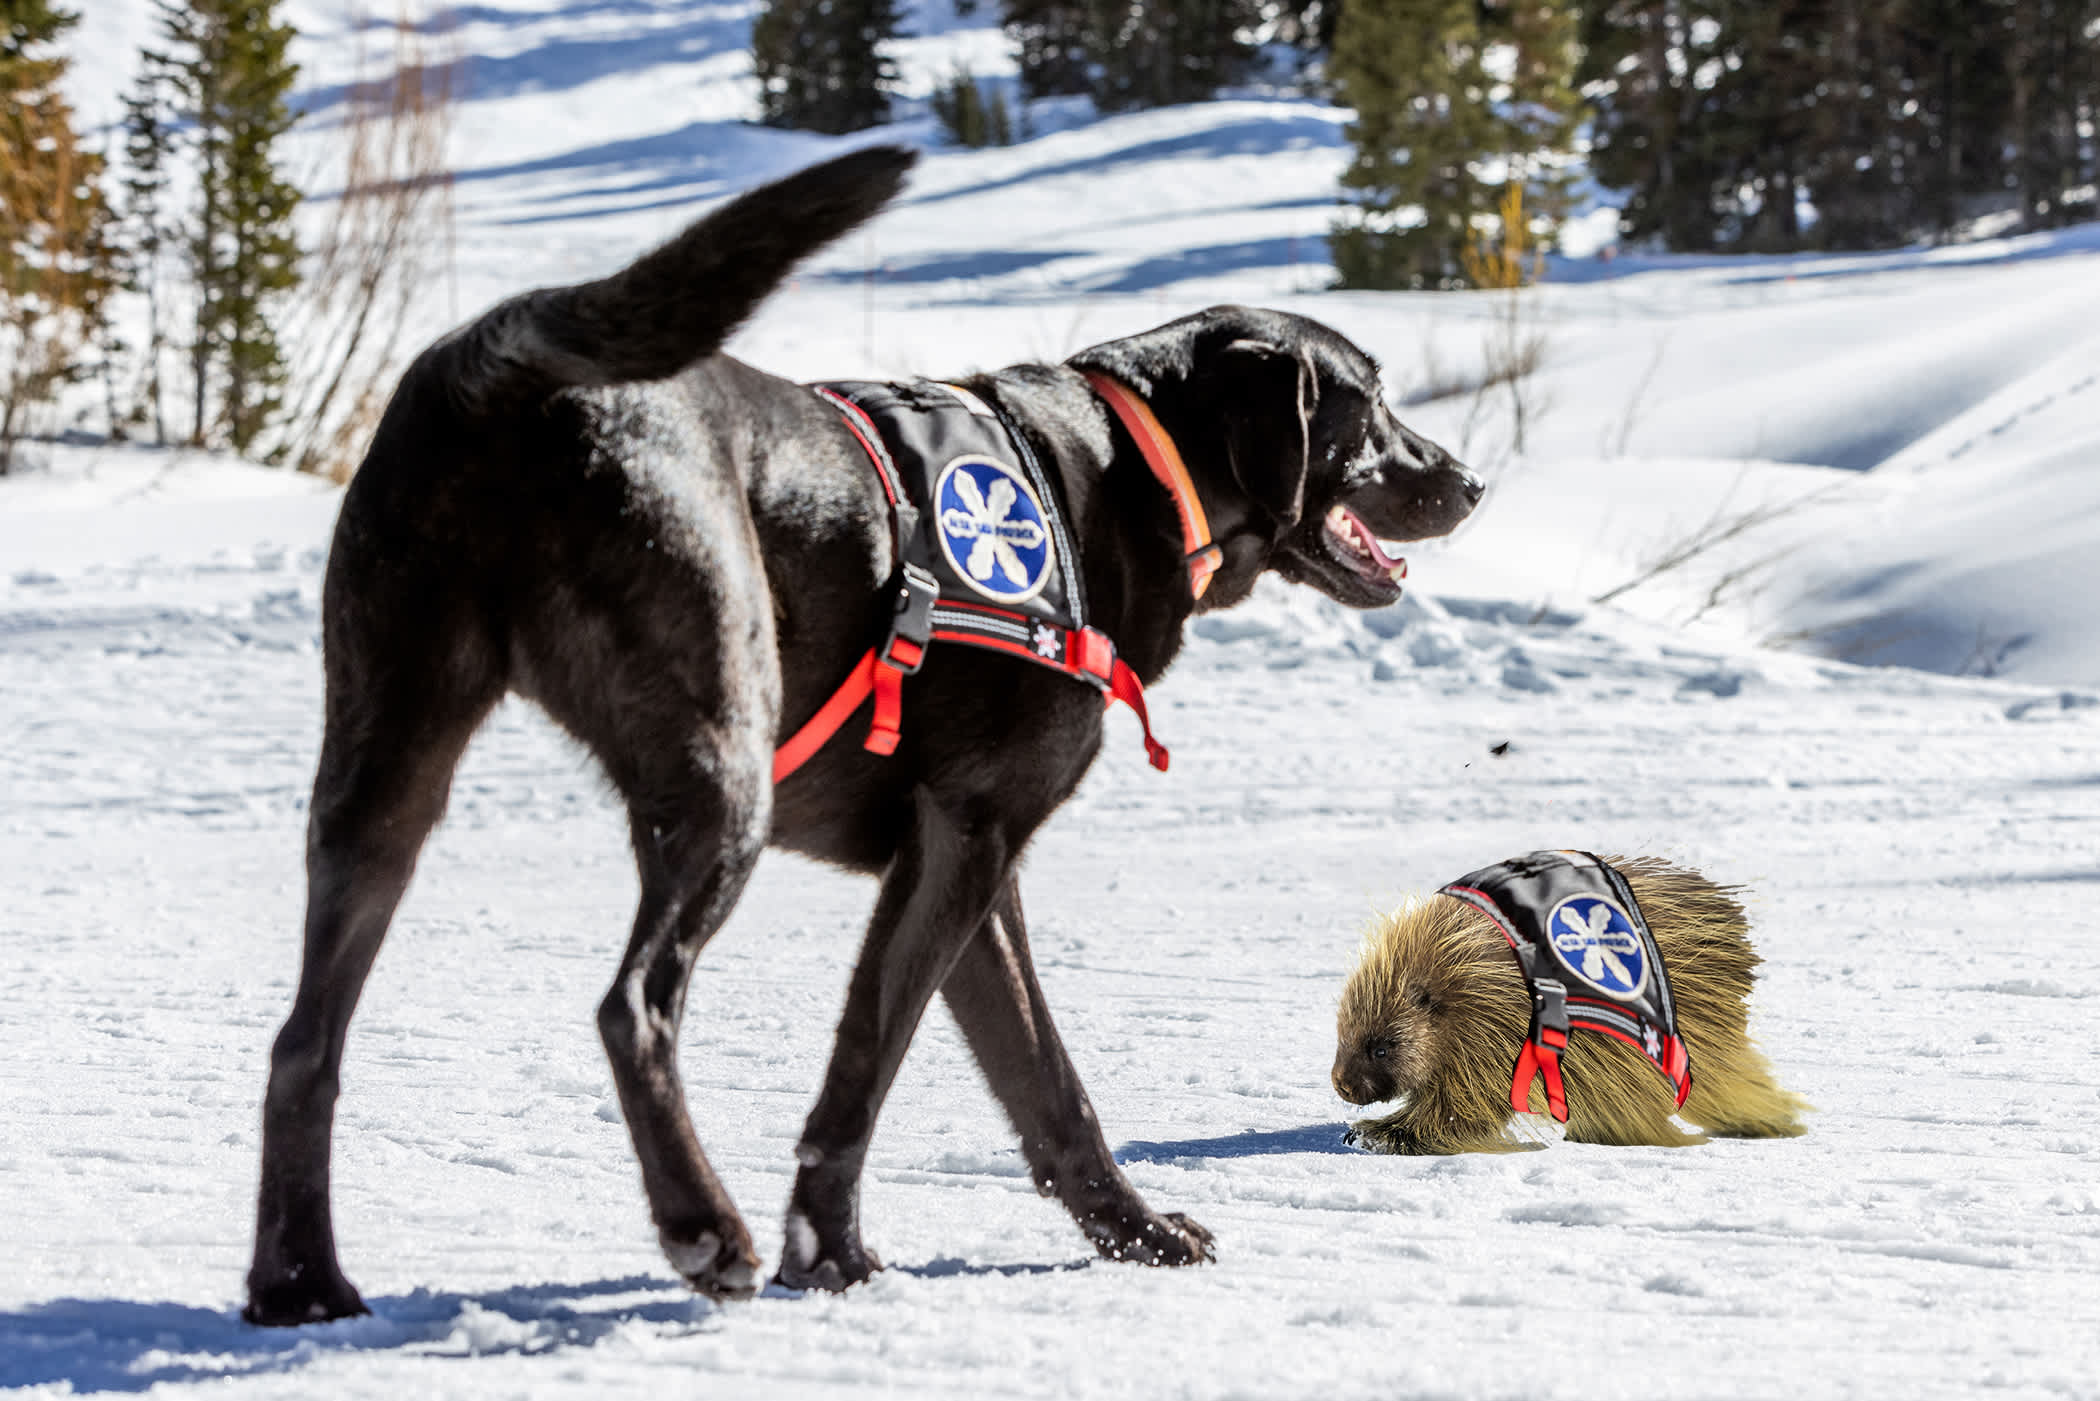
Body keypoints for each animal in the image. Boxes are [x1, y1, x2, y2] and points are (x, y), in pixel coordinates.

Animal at [241, 144, 1478, 1327]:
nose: (1468, 479)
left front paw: (1131, 1232)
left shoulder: (975, 864)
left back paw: (299, 1287)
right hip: (720, 774)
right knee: (632, 1007)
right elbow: (864, 1068)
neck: (1121, 473)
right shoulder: (955, 841)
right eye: (1371, 402)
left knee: (304, 1045)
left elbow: (1044, 1079)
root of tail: (508, 358)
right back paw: (706, 1232)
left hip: (382, 778)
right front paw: (825, 1255)